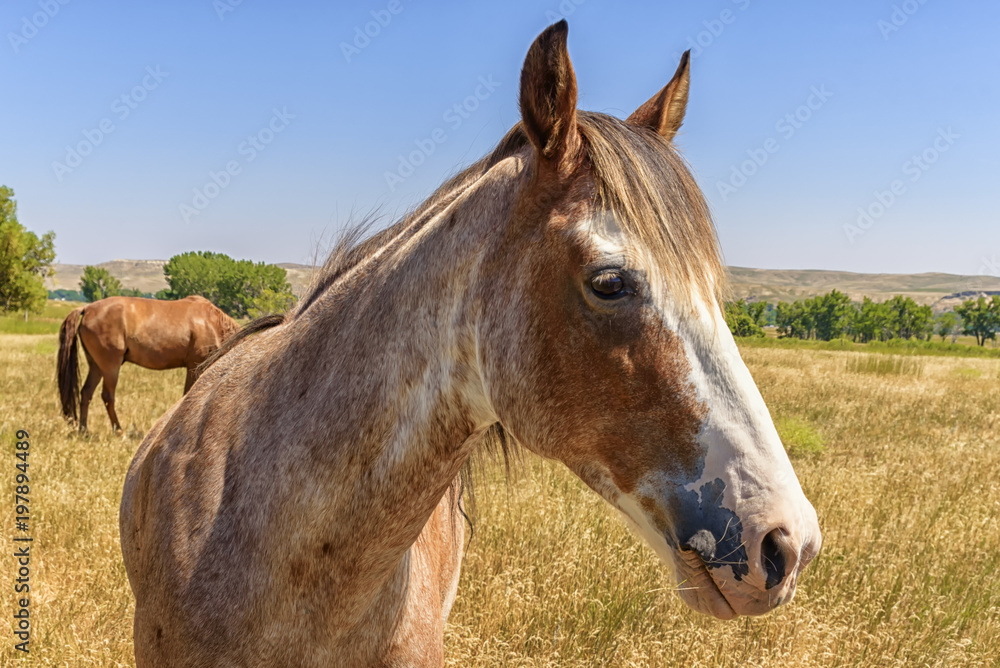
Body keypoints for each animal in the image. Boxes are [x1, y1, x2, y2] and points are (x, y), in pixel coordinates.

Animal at [58, 295, 241, 433]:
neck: (212, 323)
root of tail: (87, 309)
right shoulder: (194, 366)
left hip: (96, 366)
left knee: (86, 393)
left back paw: (84, 431)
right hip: (110, 366)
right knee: (107, 396)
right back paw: (119, 431)